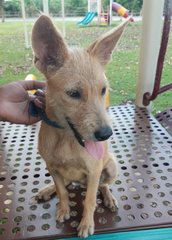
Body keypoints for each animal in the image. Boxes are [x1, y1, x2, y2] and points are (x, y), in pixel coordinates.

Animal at [31, 15, 130, 237]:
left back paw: (109, 198)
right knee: (67, 184)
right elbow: (62, 192)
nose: (105, 134)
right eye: (73, 94)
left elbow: (90, 200)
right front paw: (63, 208)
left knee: (104, 185)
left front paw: (86, 224)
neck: (66, 140)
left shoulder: (93, 171)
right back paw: (47, 190)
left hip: (111, 166)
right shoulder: (52, 167)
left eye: (103, 90)